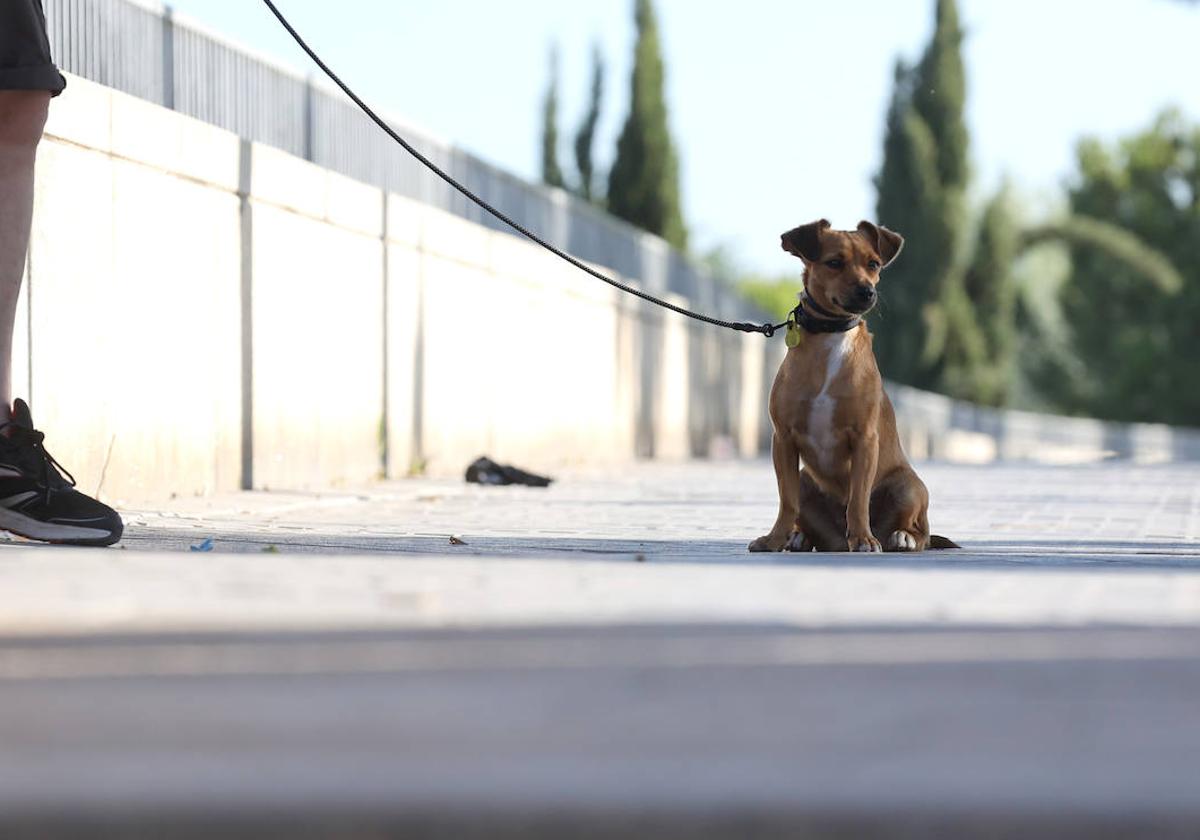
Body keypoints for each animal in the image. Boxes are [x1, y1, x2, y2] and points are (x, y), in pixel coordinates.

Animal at [744, 219, 960, 554]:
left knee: (921, 531)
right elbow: (787, 501)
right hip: (805, 479)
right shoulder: (783, 439)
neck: (831, 336)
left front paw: (863, 539)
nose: (867, 292)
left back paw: (900, 537)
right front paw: (774, 538)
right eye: (834, 263)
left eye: (873, 264)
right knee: (806, 517)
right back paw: (799, 537)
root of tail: (836, 541)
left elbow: (858, 500)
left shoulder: (864, 440)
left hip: (908, 486)